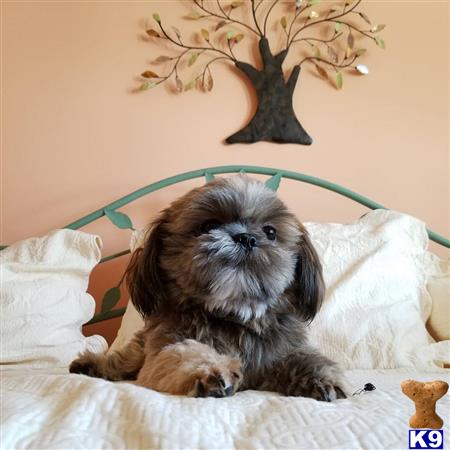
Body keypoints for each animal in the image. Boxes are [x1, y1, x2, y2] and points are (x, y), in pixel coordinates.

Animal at [69, 174, 344, 400]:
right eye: (209, 225)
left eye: (270, 232)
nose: (247, 237)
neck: (232, 317)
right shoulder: (163, 348)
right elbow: (183, 354)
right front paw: (209, 370)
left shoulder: (279, 351)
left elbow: (304, 357)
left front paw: (321, 377)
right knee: (125, 360)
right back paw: (91, 365)